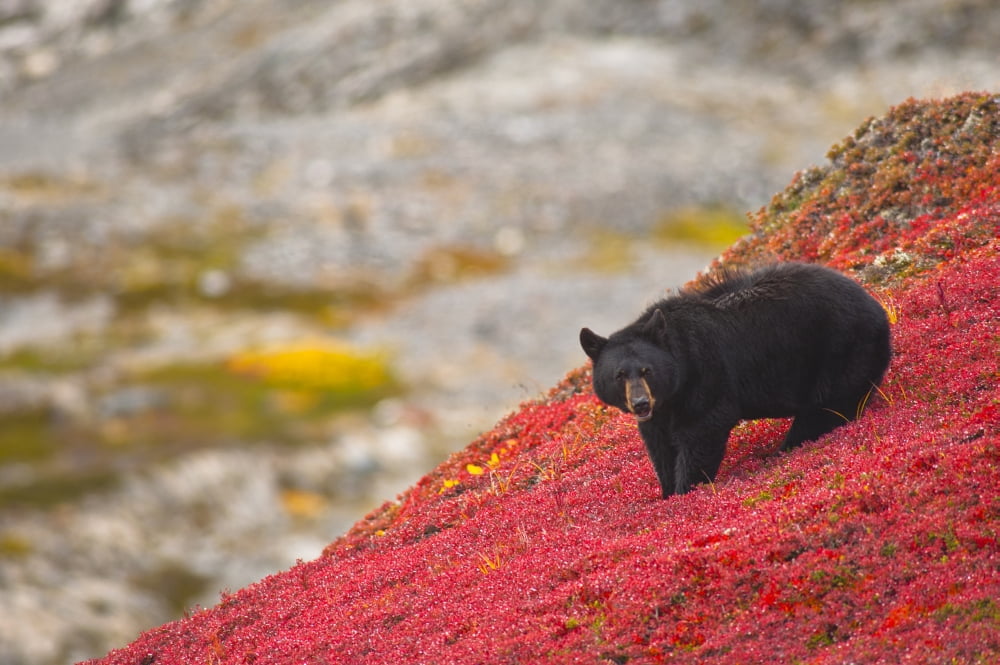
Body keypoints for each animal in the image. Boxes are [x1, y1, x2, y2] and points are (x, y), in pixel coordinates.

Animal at [579, 262, 891, 498]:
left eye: (647, 370)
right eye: (619, 375)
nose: (641, 403)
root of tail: (877, 307)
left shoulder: (705, 375)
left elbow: (701, 431)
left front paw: (685, 489)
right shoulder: (662, 410)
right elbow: (660, 445)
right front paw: (667, 492)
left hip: (840, 353)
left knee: (827, 409)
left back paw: (786, 448)